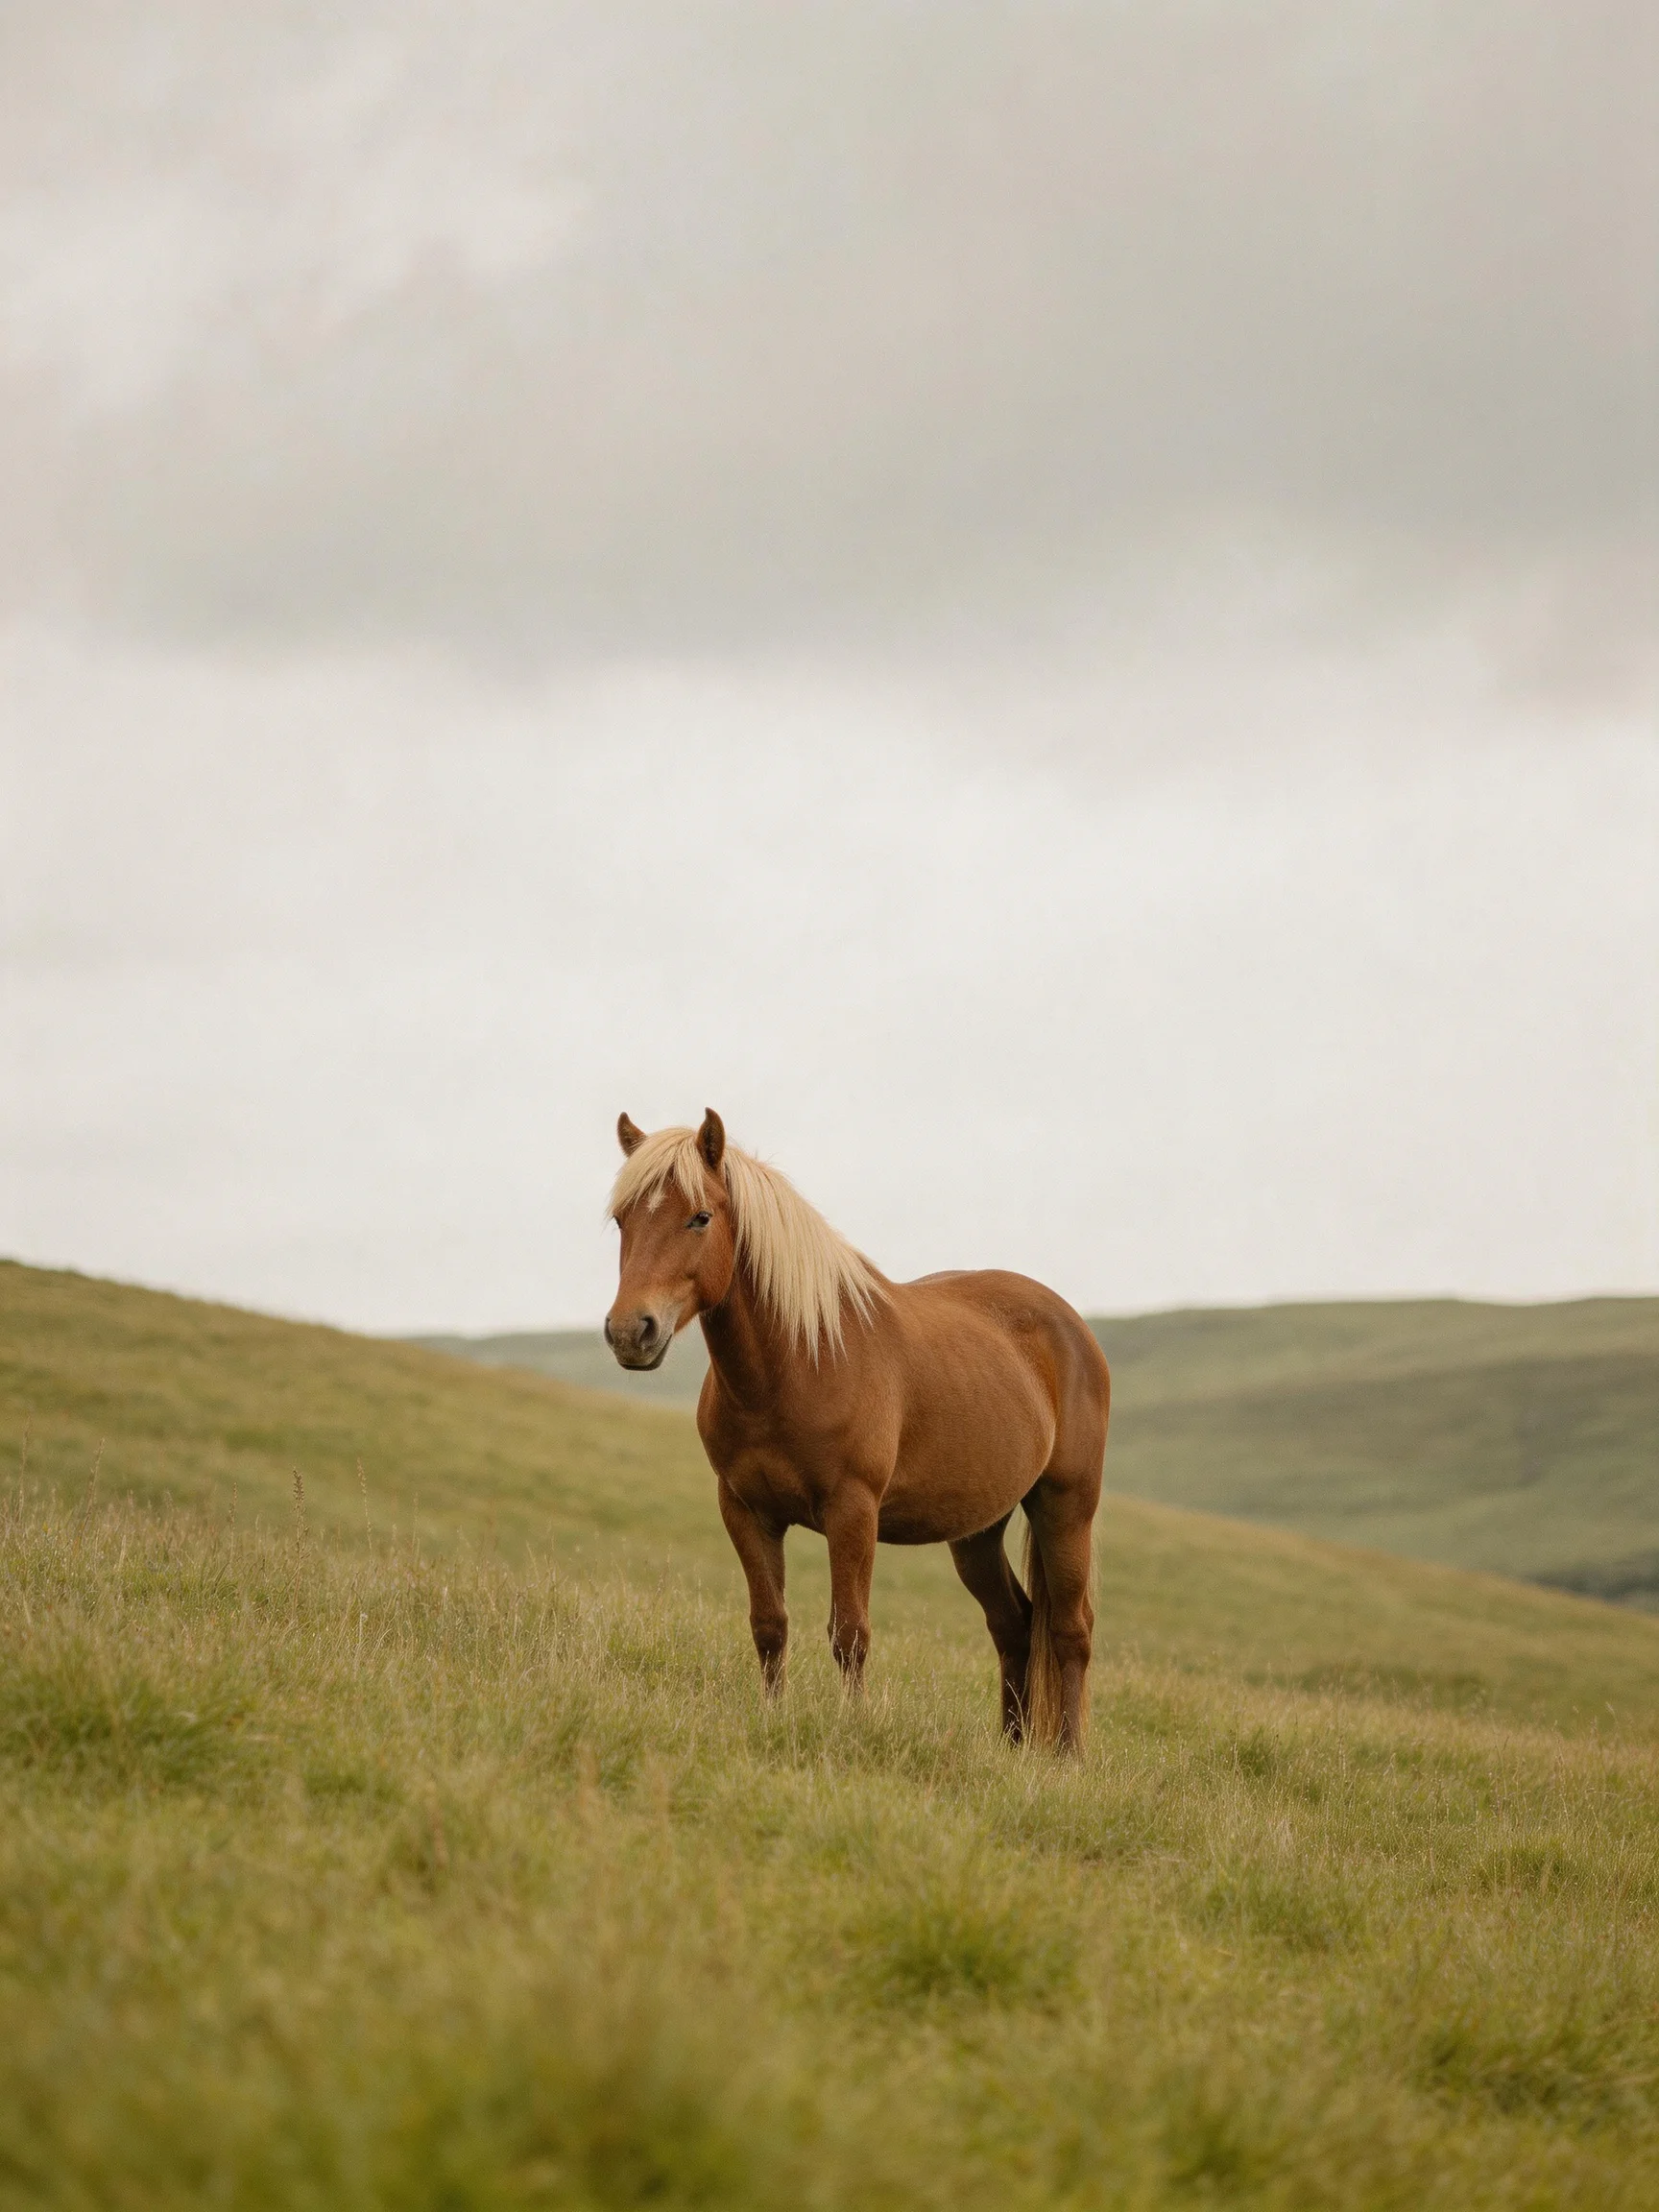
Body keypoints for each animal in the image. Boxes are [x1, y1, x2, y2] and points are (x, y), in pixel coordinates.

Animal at [604, 1110, 1110, 1751]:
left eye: (700, 1217)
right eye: (622, 1219)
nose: (630, 1332)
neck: (799, 1362)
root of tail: (1073, 1327)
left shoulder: (853, 1511)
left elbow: (849, 1634)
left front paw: (853, 1729)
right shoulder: (745, 1510)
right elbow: (769, 1624)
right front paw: (773, 1719)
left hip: (1065, 1507)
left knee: (1070, 1631)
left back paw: (1066, 1758)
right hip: (977, 1532)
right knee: (1014, 1624)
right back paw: (1011, 1750)